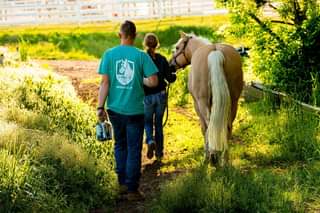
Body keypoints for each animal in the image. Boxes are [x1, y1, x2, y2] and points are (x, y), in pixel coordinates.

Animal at [170, 32, 242, 166]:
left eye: (177, 47)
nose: (170, 65)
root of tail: (215, 52)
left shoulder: (197, 104)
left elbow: (204, 129)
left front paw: (207, 157)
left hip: (202, 102)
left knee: (209, 126)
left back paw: (212, 157)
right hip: (234, 101)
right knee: (227, 126)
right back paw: (224, 161)